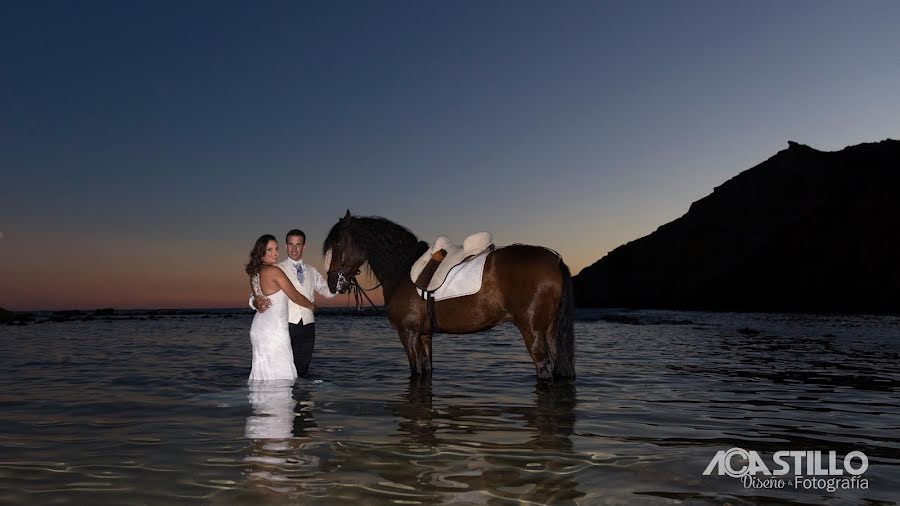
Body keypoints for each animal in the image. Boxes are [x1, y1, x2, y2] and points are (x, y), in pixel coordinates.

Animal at [324, 210, 576, 380]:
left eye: (338, 242)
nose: (331, 283)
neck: (403, 271)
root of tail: (555, 259)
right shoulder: (425, 335)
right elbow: (426, 371)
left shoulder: (408, 334)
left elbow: (416, 372)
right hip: (550, 330)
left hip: (532, 332)